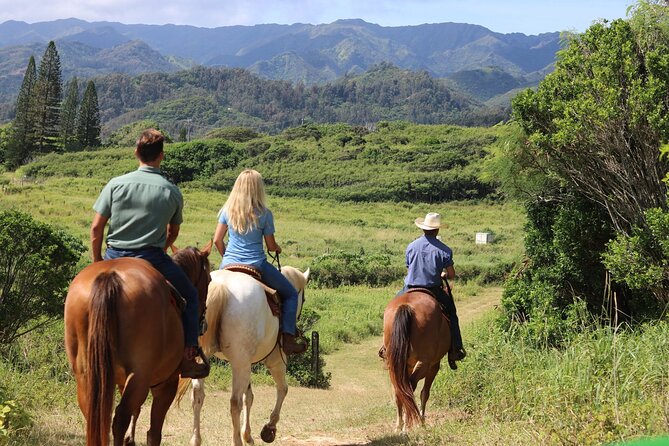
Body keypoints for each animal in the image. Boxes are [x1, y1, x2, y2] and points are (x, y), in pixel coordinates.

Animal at [64, 244, 211, 446]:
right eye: (209, 279)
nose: (203, 322)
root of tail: (110, 276)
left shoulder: (121, 381)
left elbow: (137, 410)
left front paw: (130, 439)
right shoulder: (166, 384)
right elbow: (154, 433)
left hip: (86, 375)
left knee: (96, 416)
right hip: (140, 374)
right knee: (120, 417)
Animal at [181, 264, 310, 446]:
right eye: (302, 299)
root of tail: (220, 285)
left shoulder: (246, 362)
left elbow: (248, 396)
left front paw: (247, 434)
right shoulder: (275, 361)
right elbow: (282, 389)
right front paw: (269, 428)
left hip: (206, 360)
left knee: (198, 396)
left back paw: (195, 439)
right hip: (241, 363)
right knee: (234, 402)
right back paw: (236, 441)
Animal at [380, 290, 448, 432]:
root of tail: (405, 306)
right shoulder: (434, 365)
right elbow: (425, 393)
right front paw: (422, 422)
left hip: (393, 365)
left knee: (399, 391)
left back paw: (400, 426)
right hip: (424, 363)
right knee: (410, 389)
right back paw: (408, 425)